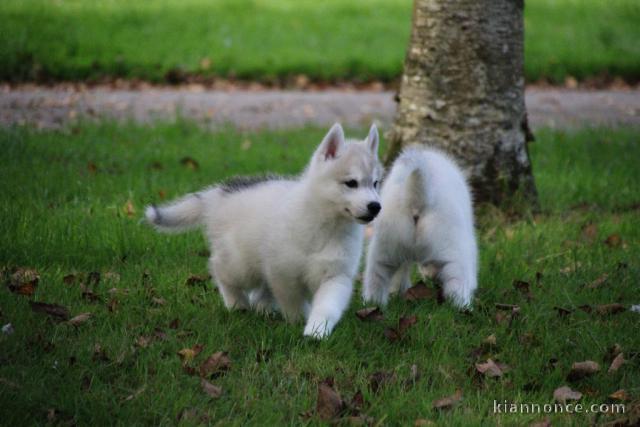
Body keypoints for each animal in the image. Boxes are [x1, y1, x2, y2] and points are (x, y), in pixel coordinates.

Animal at [148, 124, 382, 342]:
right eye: (351, 183)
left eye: (375, 183)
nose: (376, 206)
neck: (327, 225)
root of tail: (219, 195)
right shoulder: (283, 272)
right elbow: (293, 301)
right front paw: (300, 318)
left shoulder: (336, 275)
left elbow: (327, 306)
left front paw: (317, 330)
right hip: (240, 264)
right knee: (220, 270)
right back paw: (236, 303)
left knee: (260, 288)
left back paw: (263, 306)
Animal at [362, 145, 478, 310]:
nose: (432, 277)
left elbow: (399, 277)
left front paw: (398, 292)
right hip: (456, 255)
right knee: (457, 286)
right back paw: (461, 308)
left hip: (383, 250)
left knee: (375, 281)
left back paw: (375, 305)